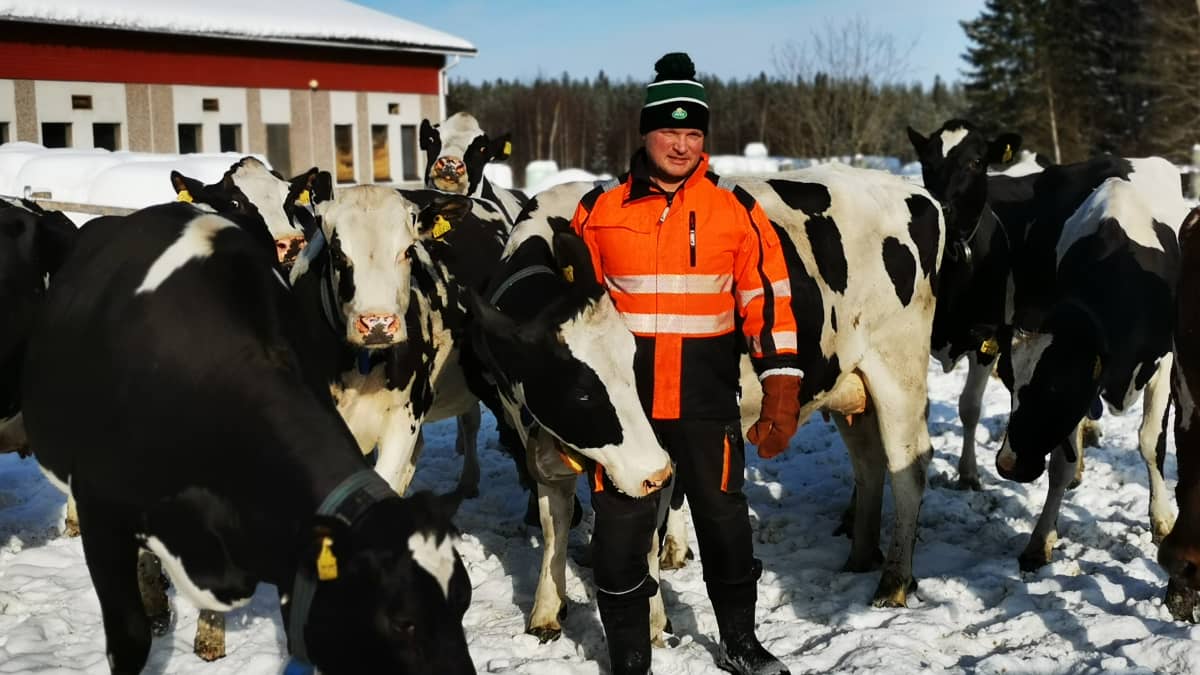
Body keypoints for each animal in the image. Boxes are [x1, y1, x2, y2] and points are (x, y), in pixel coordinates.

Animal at [993, 177, 1180, 566]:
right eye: (1008, 382)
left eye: (1055, 387)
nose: (1009, 465)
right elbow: (1060, 466)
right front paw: (1040, 539)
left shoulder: (1165, 361)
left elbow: (1151, 442)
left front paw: (1163, 519)